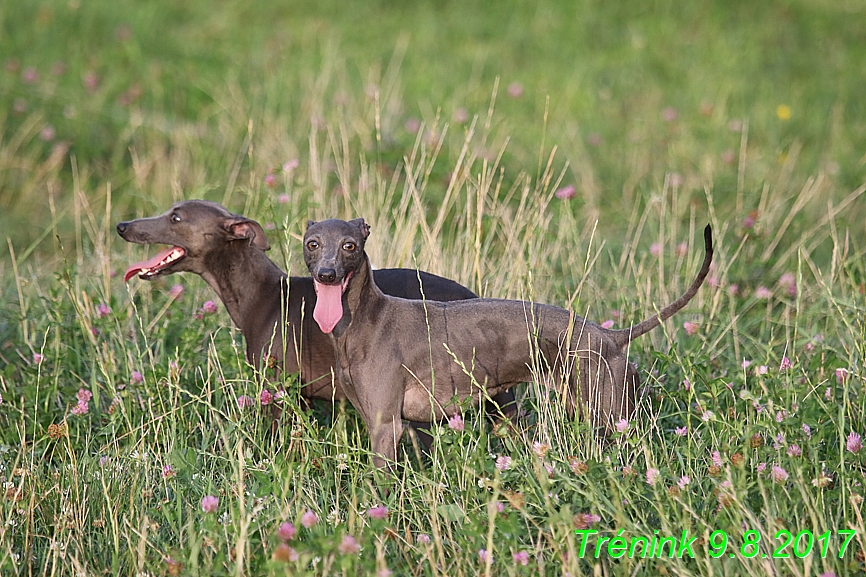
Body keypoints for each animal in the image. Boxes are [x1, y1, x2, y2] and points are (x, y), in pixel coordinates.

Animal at [302, 218, 708, 466]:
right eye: (312, 244)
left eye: (350, 246)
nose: (326, 274)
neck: (364, 321)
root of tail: (609, 335)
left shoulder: (385, 427)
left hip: (611, 417)